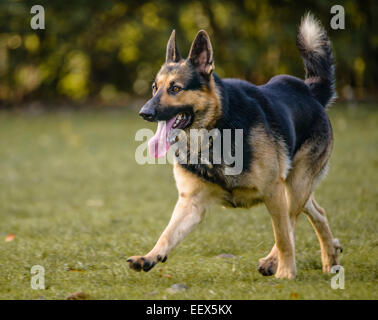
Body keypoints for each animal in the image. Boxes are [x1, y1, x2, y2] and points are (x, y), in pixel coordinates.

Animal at [127, 13, 342, 278]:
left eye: (175, 88)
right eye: (155, 88)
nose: (144, 113)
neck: (214, 131)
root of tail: (310, 92)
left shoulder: (273, 191)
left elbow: (283, 236)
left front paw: (285, 273)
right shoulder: (191, 204)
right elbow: (167, 234)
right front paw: (149, 257)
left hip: (295, 185)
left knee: (291, 223)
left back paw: (276, 262)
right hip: (296, 186)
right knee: (317, 213)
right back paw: (330, 259)